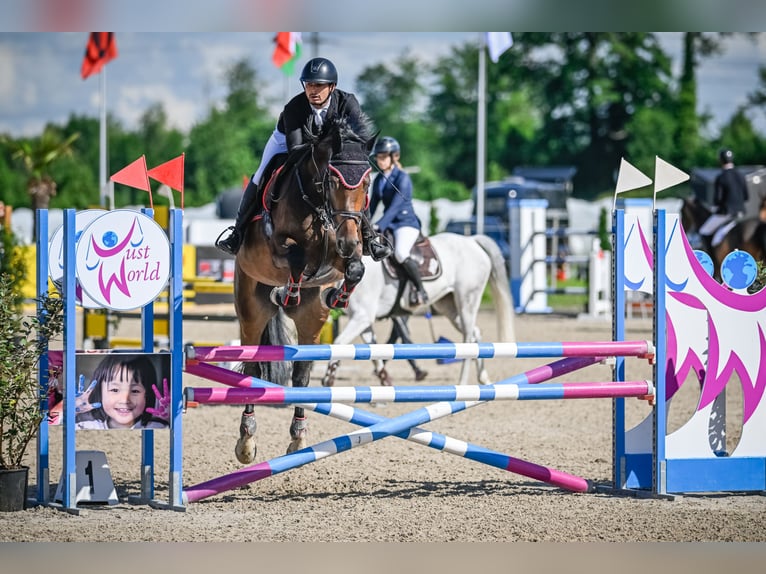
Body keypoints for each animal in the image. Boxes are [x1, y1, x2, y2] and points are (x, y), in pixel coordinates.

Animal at [234, 119, 378, 466]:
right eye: (333, 179)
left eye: (367, 183)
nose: (349, 241)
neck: (317, 203)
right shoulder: (276, 247)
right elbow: (298, 257)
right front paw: (288, 292)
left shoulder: (340, 252)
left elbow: (355, 268)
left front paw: (339, 296)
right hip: (250, 307)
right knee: (252, 367)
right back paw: (246, 441)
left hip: (311, 320)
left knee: (301, 374)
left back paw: (298, 438)